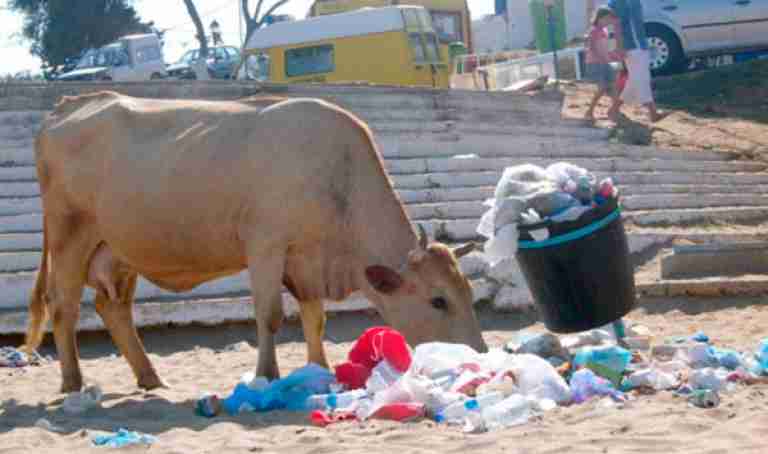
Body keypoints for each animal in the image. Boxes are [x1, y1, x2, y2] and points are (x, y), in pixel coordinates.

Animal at [24, 90, 488, 392]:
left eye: (467, 292)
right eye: (438, 300)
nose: (478, 354)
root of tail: (69, 106)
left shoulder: (306, 261)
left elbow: (314, 318)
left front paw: (317, 367)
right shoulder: (266, 245)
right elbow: (270, 315)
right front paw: (267, 375)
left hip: (119, 249)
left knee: (113, 308)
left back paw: (151, 377)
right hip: (69, 236)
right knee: (63, 306)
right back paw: (73, 382)